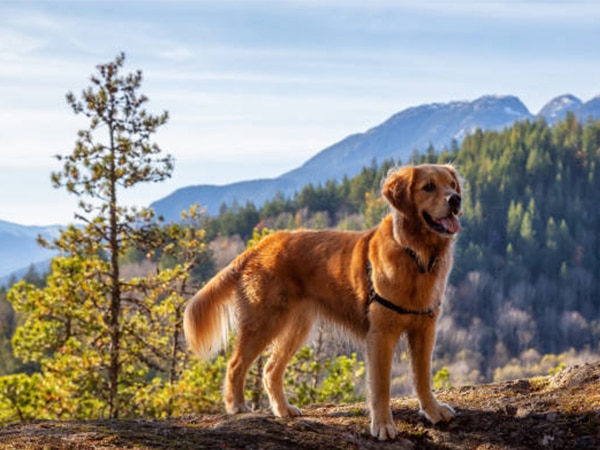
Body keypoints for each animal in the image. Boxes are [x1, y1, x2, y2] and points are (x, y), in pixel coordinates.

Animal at [185, 164, 462, 440]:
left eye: (451, 185)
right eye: (428, 187)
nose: (456, 199)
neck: (415, 253)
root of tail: (260, 246)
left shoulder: (424, 329)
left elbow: (423, 377)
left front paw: (433, 411)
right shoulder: (381, 334)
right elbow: (381, 386)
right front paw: (383, 425)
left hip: (296, 327)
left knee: (270, 370)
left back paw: (283, 409)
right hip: (263, 322)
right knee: (235, 364)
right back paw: (237, 406)